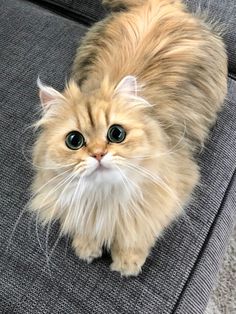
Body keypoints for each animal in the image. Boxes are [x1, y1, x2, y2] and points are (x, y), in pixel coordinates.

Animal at [29, 0, 227, 276]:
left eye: (116, 134)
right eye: (74, 141)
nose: (98, 153)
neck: (106, 200)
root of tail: (158, 5)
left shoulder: (172, 189)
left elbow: (139, 232)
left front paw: (128, 262)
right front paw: (86, 246)